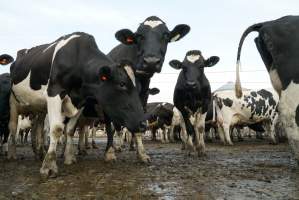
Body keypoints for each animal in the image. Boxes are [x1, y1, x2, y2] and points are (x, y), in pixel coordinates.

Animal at [7, 32, 146, 178]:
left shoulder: (80, 102)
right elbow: (57, 129)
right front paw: (49, 165)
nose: (143, 124)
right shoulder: (54, 92)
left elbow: (70, 130)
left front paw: (69, 157)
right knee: (13, 127)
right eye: (122, 84)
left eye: (139, 88)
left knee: (37, 127)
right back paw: (12, 154)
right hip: (13, 102)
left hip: (39, 108)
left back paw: (39, 152)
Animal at [108, 16, 191, 161]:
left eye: (166, 35)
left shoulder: (143, 96)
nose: (151, 61)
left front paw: (140, 153)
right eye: (139, 36)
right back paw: (115, 148)